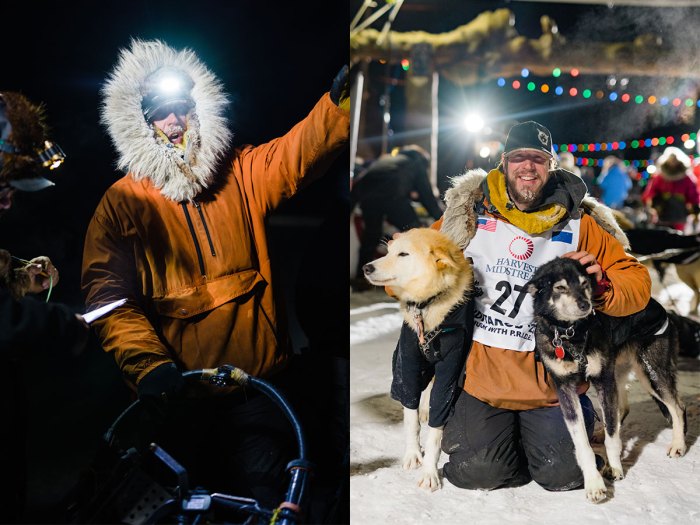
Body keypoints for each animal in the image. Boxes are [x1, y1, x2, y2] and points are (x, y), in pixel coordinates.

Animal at [364, 227, 474, 490]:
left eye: (403, 254)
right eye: (388, 251)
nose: (366, 267)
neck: (426, 307)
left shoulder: (450, 370)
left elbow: (436, 428)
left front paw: (430, 472)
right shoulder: (408, 366)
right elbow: (410, 418)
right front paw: (413, 454)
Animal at [528, 258, 688, 504]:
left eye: (585, 284)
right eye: (560, 287)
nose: (585, 305)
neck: (571, 335)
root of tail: (660, 306)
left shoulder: (603, 381)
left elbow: (613, 439)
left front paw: (614, 468)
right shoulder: (566, 390)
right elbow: (583, 444)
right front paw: (594, 484)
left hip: (650, 373)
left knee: (677, 407)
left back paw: (678, 446)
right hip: (619, 375)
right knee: (621, 410)